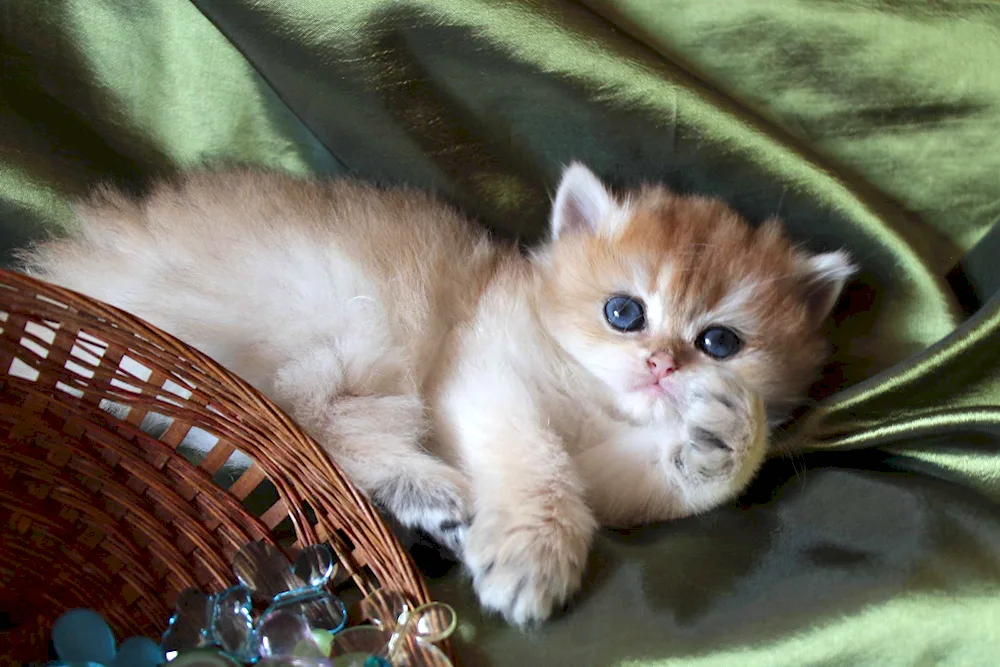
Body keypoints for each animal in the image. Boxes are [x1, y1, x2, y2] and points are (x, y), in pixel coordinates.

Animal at [17, 164, 852, 628]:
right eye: (624, 311)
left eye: (720, 342)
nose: (660, 365)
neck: (590, 394)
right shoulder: (483, 375)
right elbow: (534, 463)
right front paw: (532, 554)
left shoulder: (606, 465)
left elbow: (645, 480)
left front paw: (721, 445)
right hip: (346, 311)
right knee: (315, 423)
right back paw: (432, 493)